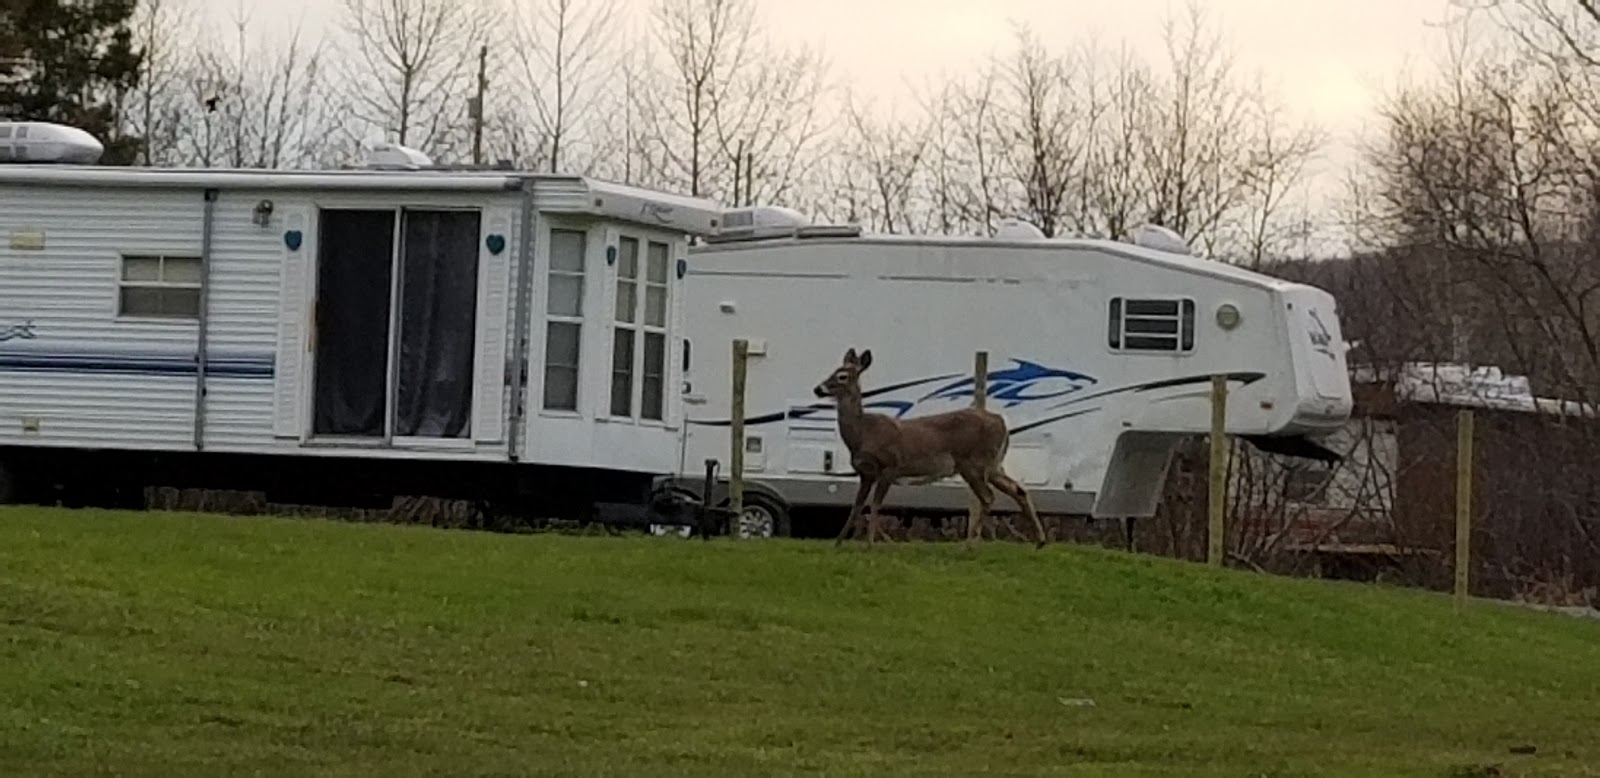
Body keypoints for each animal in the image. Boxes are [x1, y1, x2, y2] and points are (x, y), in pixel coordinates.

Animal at [812, 345, 1049, 553]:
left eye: (842, 376)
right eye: (832, 371)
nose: (817, 389)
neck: (863, 433)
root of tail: (1002, 423)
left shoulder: (890, 466)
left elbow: (875, 504)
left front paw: (869, 545)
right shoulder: (865, 473)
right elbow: (857, 505)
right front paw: (838, 543)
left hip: (973, 463)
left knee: (988, 497)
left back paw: (969, 545)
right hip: (993, 465)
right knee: (1018, 489)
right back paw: (1039, 541)